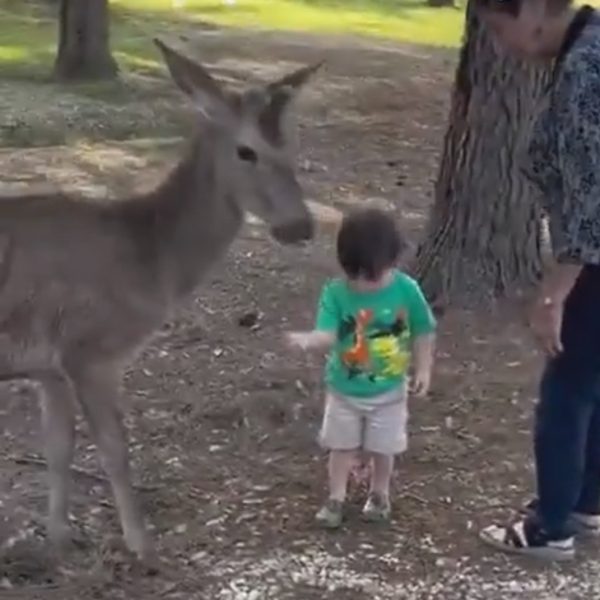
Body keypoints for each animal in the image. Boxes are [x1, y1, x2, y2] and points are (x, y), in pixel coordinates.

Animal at [0, 39, 322, 560]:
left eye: (292, 146)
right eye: (246, 150)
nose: (301, 226)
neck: (152, 261)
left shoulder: (50, 367)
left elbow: (58, 448)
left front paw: (59, 537)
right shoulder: (89, 349)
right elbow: (115, 451)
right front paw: (142, 545)